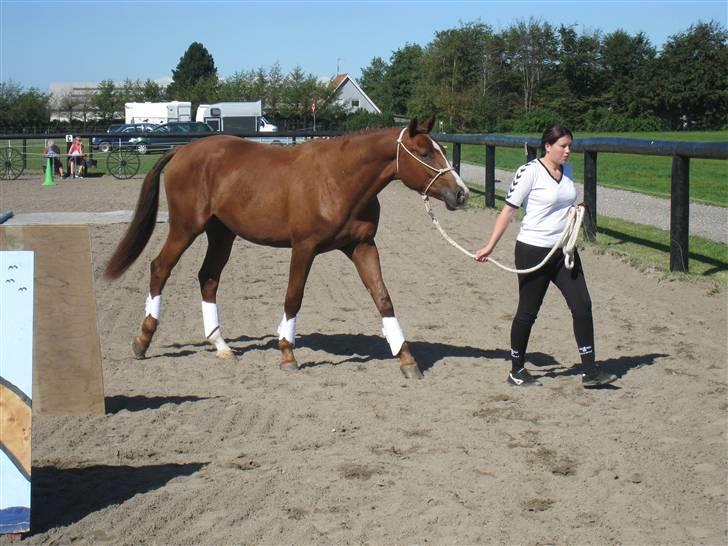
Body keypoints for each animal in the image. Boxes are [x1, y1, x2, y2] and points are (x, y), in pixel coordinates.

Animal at [104, 115, 466, 378]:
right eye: (425, 154)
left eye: (442, 151)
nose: (461, 193)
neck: (338, 179)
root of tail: (182, 151)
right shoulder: (304, 247)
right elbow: (294, 297)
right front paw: (287, 353)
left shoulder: (362, 246)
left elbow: (383, 299)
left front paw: (406, 359)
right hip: (185, 228)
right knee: (160, 267)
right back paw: (142, 340)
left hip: (222, 234)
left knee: (208, 277)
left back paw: (221, 345)